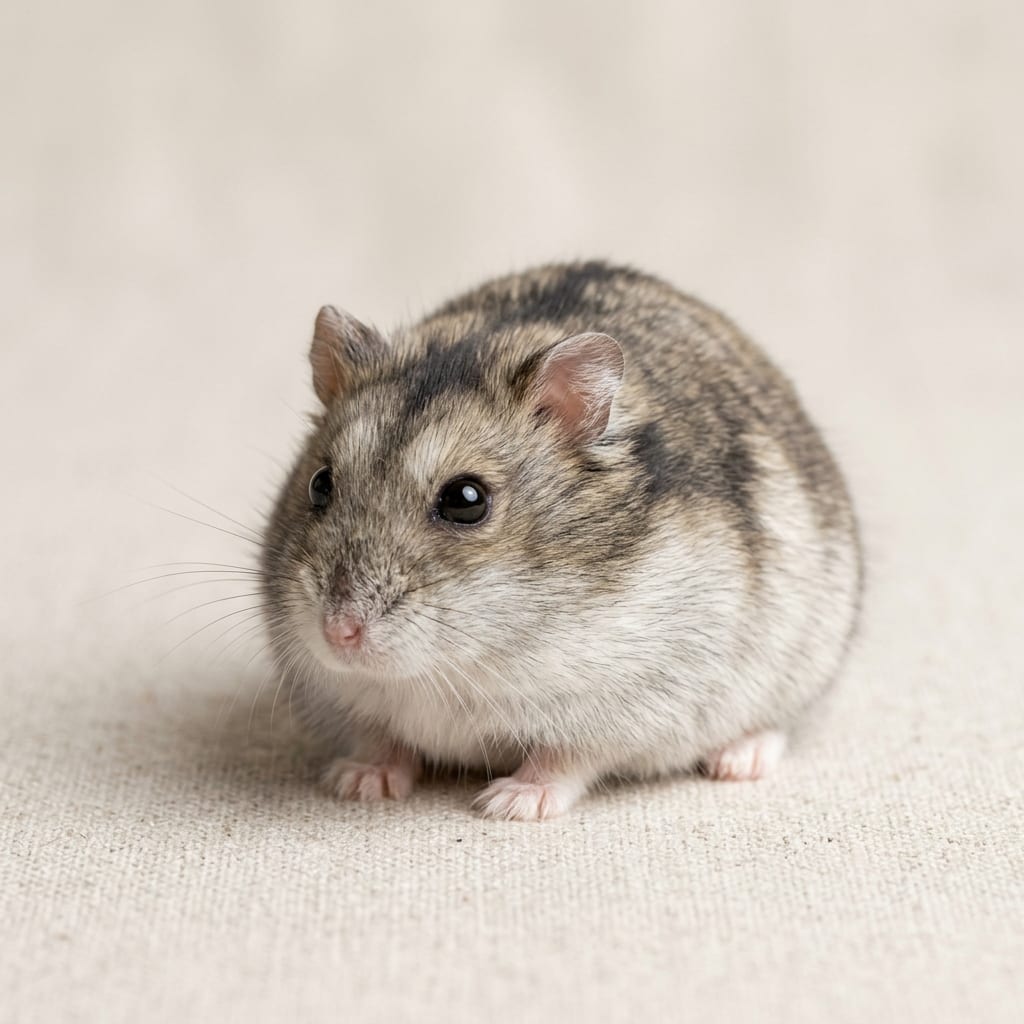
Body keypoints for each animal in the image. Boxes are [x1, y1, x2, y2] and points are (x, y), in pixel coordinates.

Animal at [261, 261, 862, 821]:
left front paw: (509, 804)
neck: (453, 665)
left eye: (466, 499)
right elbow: (382, 738)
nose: (338, 633)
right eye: (320, 483)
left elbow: (564, 759)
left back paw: (737, 761)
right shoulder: (350, 699)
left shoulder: (620, 709)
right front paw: (358, 782)